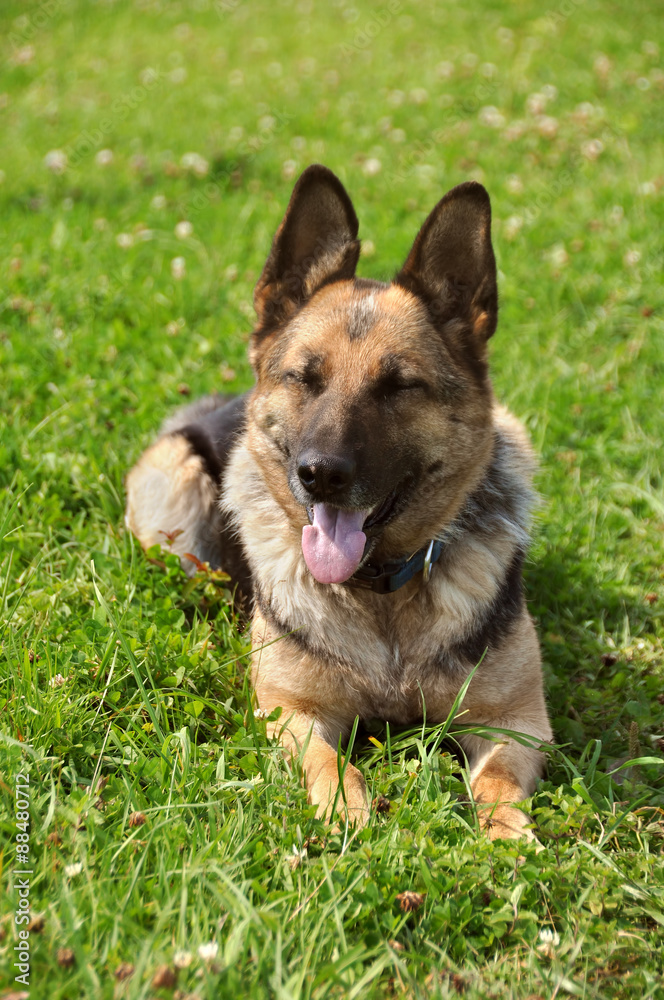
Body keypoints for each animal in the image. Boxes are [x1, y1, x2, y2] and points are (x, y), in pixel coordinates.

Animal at [127, 168, 552, 840]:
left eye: (400, 386)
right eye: (305, 377)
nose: (320, 475)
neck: (380, 594)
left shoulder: (515, 722)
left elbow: (499, 783)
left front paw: (509, 837)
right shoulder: (291, 711)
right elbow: (328, 760)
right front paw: (344, 808)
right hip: (176, 503)